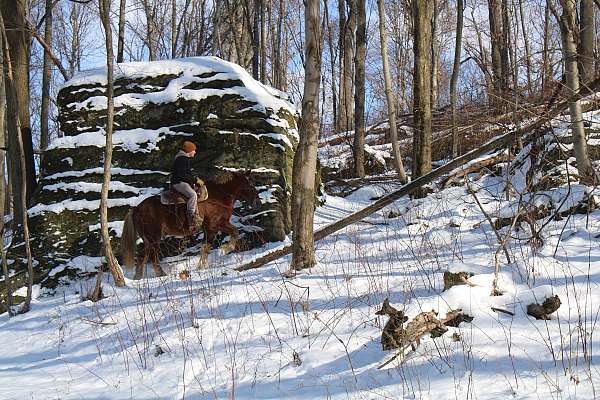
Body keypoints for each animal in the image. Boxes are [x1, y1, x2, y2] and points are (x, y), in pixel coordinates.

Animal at [120, 170, 262, 280]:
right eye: (250, 185)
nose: (258, 203)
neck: (219, 196)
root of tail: (136, 209)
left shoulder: (218, 226)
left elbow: (215, 242)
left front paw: (204, 265)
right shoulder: (213, 226)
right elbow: (213, 244)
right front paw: (224, 250)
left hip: (148, 239)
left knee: (144, 257)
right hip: (153, 238)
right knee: (150, 257)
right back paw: (158, 275)